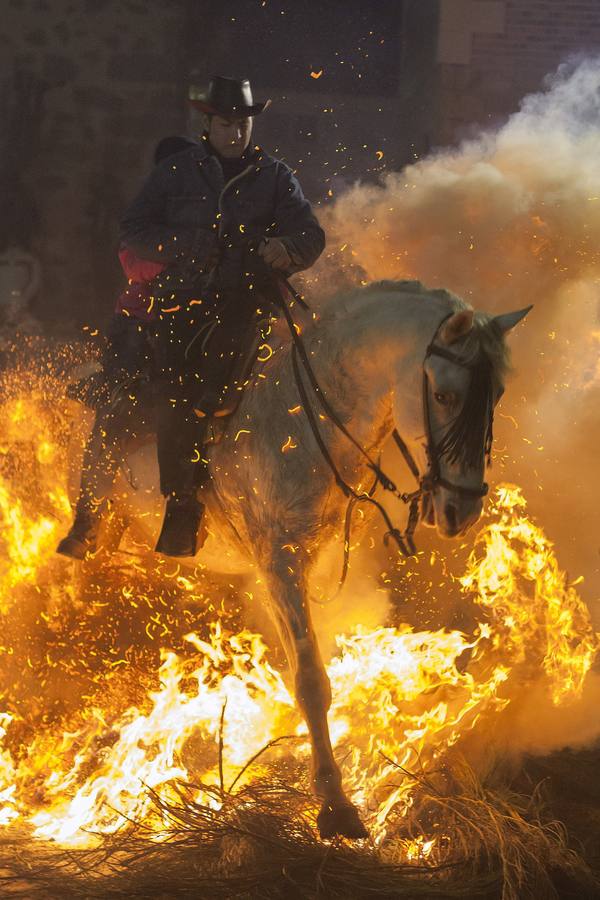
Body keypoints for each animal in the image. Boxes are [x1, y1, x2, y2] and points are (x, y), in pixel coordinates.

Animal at [101, 280, 532, 836]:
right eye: (443, 395)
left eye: (496, 393)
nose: (463, 508)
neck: (300, 422)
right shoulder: (279, 563)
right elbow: (309, 680)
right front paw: (334, 803)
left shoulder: (323, 563)